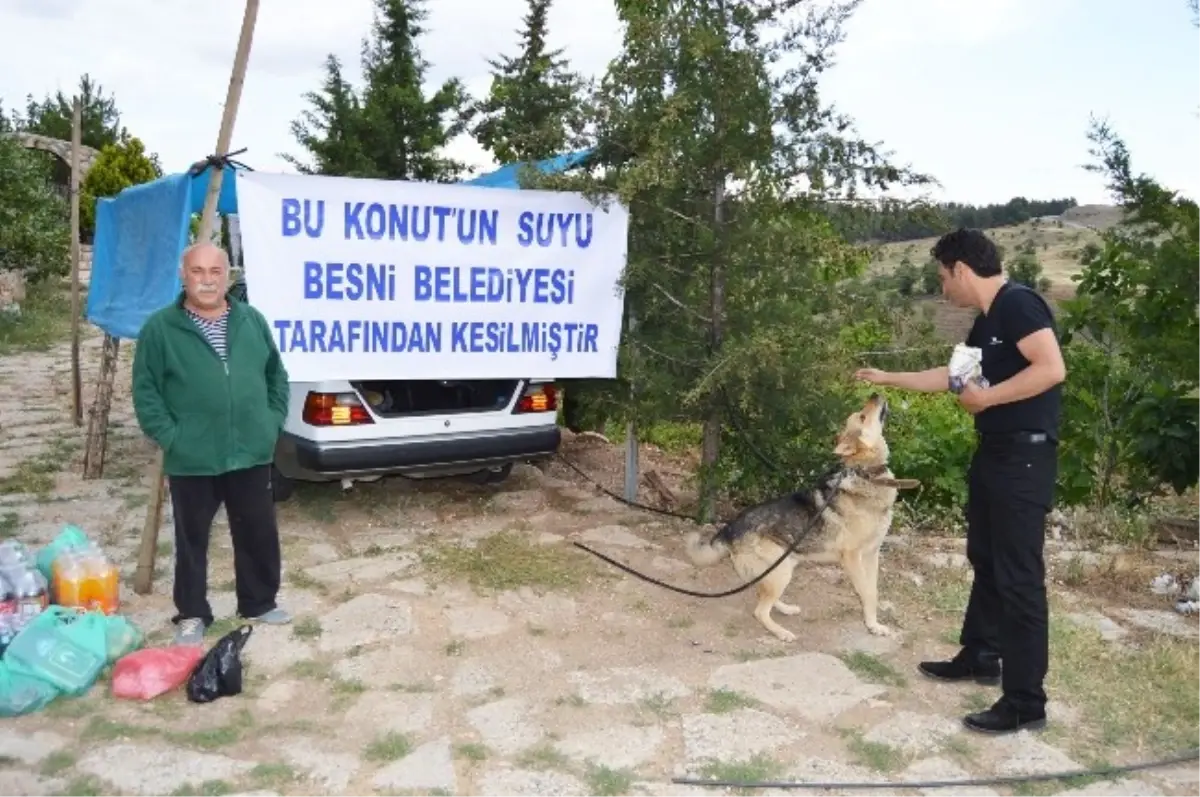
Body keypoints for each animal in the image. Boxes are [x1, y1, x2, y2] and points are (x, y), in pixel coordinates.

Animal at [686, 391, 916, 643]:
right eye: (863, 416)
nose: (875, 393)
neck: (865, 474)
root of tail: (729, 529)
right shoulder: (852, 557)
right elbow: (865, 592)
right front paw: (872, 625)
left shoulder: (871, 555)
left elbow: (873, 592)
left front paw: (875, 623)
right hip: (781, 570)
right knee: (760, 610)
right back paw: (781, 632)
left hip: (781, 567)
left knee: (763, 596)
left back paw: (785, 609)